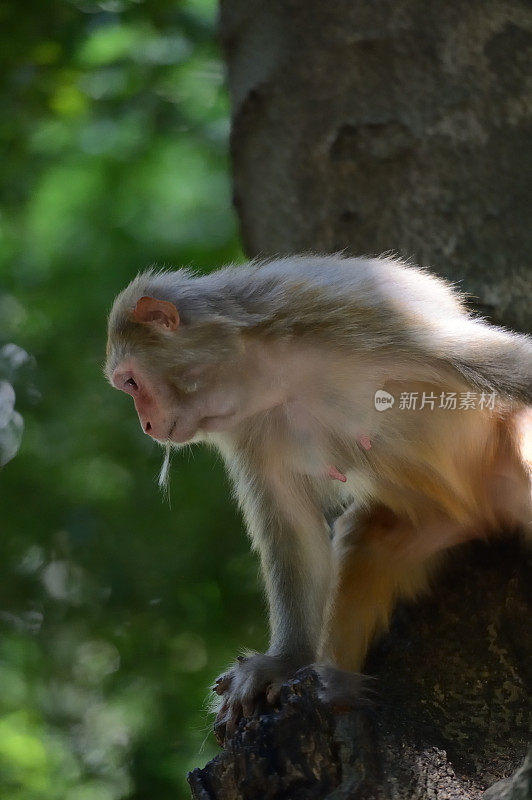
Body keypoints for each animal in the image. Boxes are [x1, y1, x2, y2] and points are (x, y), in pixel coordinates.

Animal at [105, 253, 532, 740]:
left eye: (131, 383)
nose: (146, 426)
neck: (270, 372)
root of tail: (484, 511)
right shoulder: (246, 426)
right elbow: (292, 527)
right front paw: (282, 662)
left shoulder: (351, 317)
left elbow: (502, 363)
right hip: (437, 519)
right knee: (365, 542)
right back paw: (336, 690)